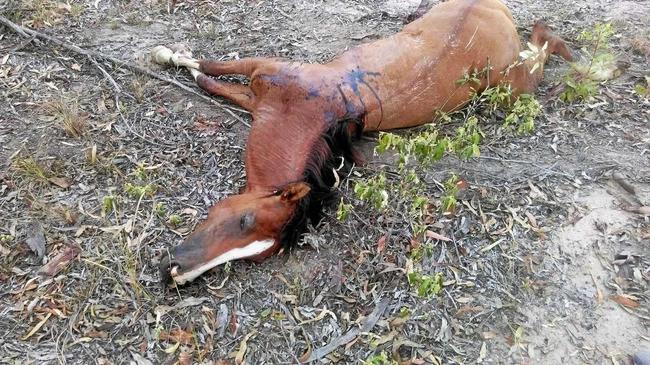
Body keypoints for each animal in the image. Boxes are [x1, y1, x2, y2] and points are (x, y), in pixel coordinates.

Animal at [152, 0, 568, 284]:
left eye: (247, 224)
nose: (174, 271)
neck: (309, 107)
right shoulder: (259, 84)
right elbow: (211, 74)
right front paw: (168, 55)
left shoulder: (262, 78)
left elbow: (208, 76)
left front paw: (172, 56)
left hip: (510, 87)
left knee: (538, 57)